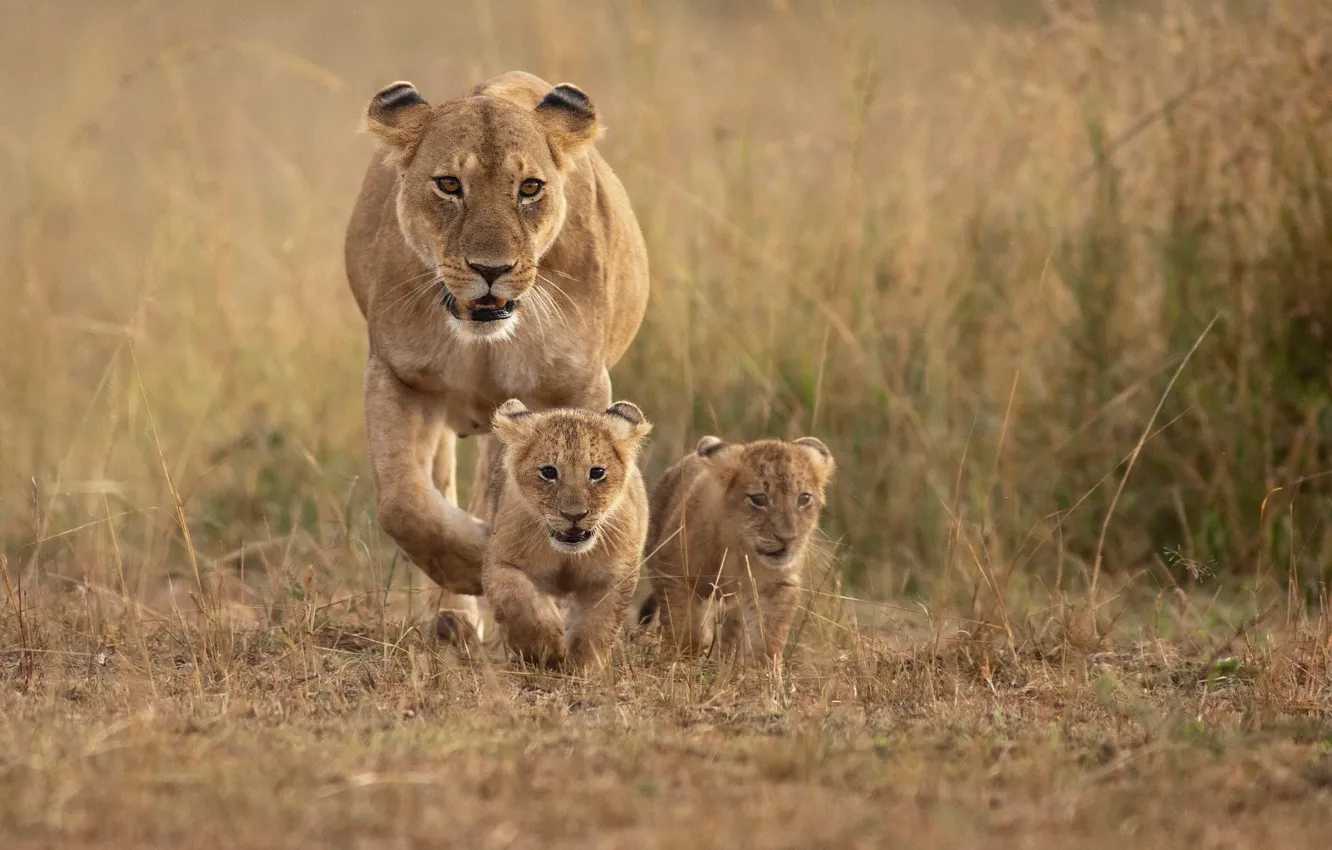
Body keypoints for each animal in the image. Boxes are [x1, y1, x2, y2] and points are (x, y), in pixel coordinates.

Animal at [343, 71, 649, 640]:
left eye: (529, 188)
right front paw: (472, 566)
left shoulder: (575, 387)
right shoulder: (398, 376)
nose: (491, 269)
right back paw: (452, 616)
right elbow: (404, 503)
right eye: (448, 185)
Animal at [478, 398, 651, 672]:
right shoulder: (502, 563)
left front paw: (583, 668)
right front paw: (547, 652)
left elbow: (596, 626)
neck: (567, 555)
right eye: (549, 472)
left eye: (597, 473)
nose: (574, 515)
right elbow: (518, 603)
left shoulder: (613, 576)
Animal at [639, 435, 836, 665]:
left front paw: (760, 672)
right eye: (758, 499)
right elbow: (686, 627)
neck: (741, 551)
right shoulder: (674, 571)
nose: (788, 538)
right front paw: (682, 661)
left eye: (804, 498)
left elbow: (766, 640)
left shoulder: (777, 586)